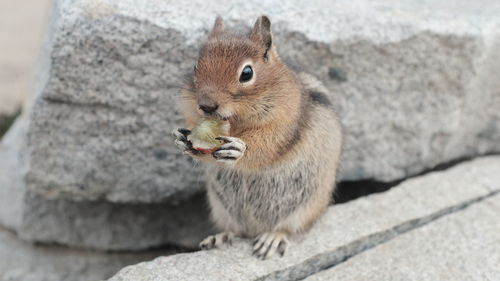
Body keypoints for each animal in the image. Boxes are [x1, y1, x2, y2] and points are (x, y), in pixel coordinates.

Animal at [173, 14, 344, 258]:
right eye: (196, 66)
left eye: (247, 73)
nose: (206, 106)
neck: (238, 123)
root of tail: (255, 229)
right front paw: (181, 138)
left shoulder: (284, 124)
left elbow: (266, 146)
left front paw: (239, 149)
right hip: (222, 210)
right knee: (236, 231)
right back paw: (220, 237)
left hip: (306, 208)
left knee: (287, 228)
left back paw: (271, 239)